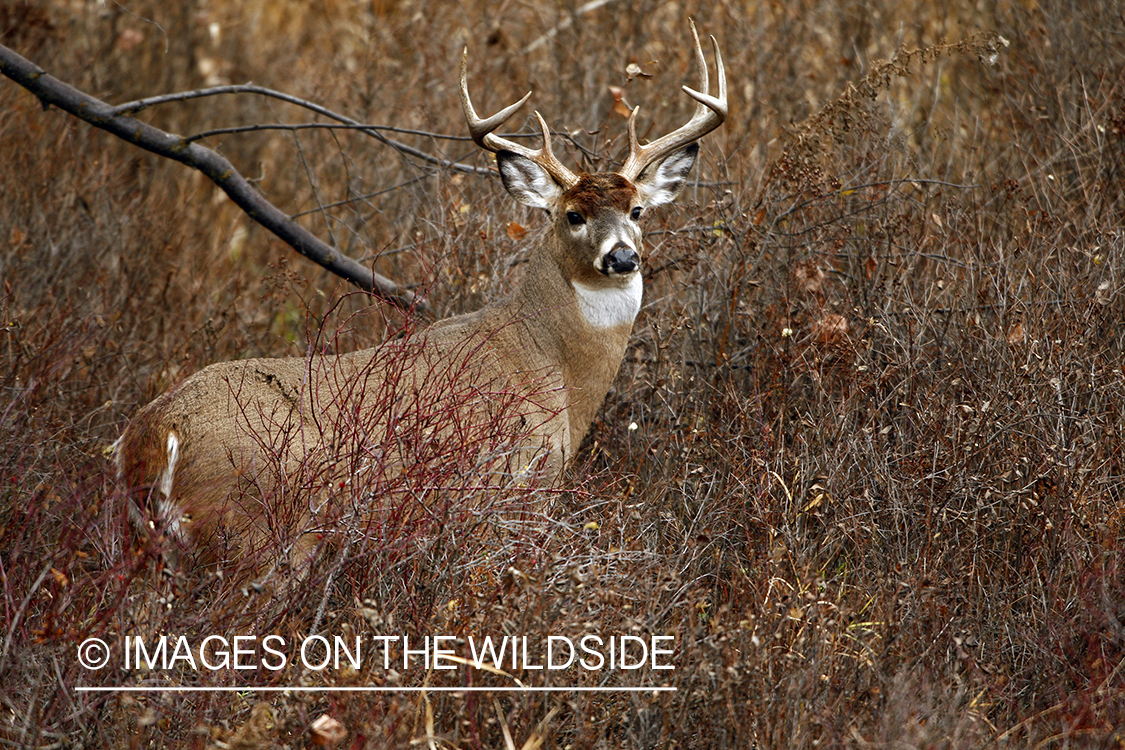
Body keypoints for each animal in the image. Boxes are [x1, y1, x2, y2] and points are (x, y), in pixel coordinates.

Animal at [111, 19, 729, 584]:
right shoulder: (508, 488)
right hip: (254, 531)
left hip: (148, 551)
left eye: (638, 211)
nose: (622, 257)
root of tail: (152, 437)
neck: (551, 366)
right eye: (573, 215)